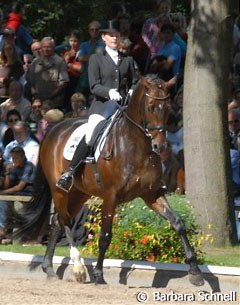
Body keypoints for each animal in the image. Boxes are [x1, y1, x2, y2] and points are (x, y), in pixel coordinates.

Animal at [13, 73, 204, 284]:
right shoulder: (110, 197)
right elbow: (105, 235)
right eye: (151, 106)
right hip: (60, 189)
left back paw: (49, 269)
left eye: (169, 108)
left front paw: (195, 272)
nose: (160, 147)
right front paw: (98, 275)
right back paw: (78, 268)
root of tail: (54, 129)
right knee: (64, 220)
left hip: (79, 192)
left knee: (57, 222)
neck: (137, 147)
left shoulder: (152, 194)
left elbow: (178, 223)